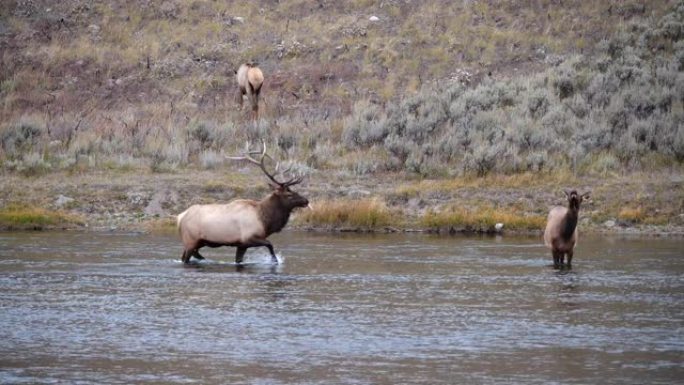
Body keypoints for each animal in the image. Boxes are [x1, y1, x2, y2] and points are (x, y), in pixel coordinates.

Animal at [175, 141, 308, 264]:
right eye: (289, 195)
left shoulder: (242, 245)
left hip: (198, 242)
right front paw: (275, 261)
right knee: (186, 258)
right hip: (190, 240)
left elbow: (239, 260)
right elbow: (270, 244)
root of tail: (180, 217)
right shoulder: (249, 237)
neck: (265, 220)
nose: (306, 201)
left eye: (294, 191)